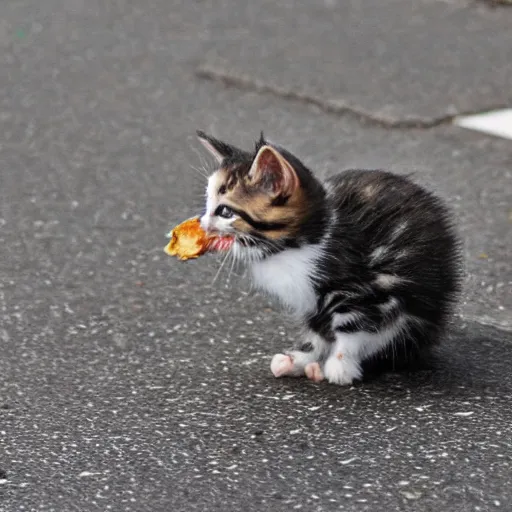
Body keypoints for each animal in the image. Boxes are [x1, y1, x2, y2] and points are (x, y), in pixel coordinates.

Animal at [194, 131, 462, 384]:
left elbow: (353, 327)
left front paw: (340, 365)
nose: (203, 224)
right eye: (208, 204)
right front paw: (301, 359)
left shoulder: (367, 292)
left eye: (225, 211)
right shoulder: (312, 303)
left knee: (397, 334)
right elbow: (318, 332)